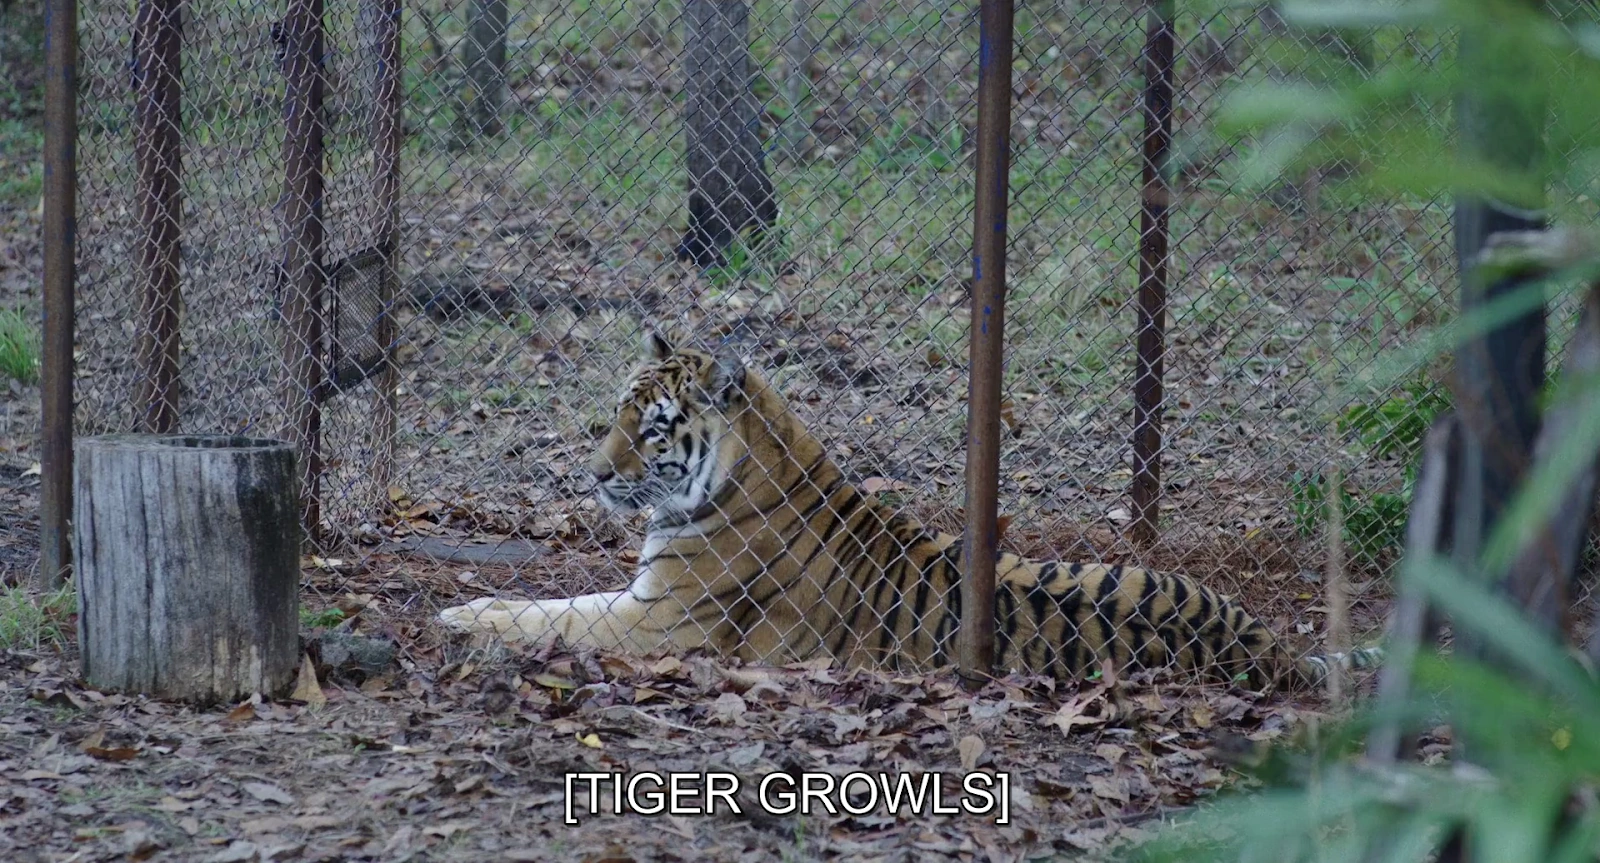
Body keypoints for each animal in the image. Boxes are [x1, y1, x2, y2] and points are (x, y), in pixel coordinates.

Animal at [438, 330, 1382, 691]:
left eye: (652, 425)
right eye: (615, 411)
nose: (592, 472)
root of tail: (1270, 651)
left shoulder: (661, 619)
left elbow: (552, 615)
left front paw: (462, 614)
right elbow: (553, 605)